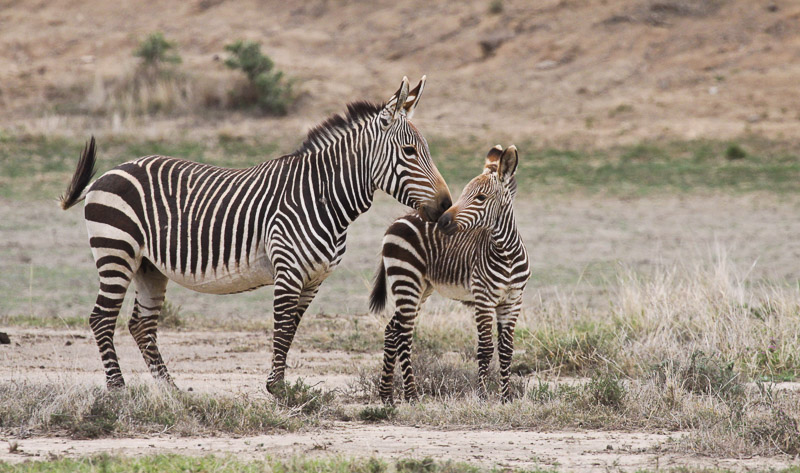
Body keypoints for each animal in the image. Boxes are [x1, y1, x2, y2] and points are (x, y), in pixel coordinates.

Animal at [59, 76, 452, 391]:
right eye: (410, 151)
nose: (447, 209)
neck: (322, 196)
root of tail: (106, 174)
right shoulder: (289, 270)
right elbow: (280, 327)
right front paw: (276, 390)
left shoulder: (314, 280)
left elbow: (291, 330)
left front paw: (281, 386)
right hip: (116, 251)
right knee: (101, 318)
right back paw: (117, 389)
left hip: (148, 266)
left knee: (141, 325)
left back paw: (171, 390)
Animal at [369, 145, 529, 403]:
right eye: (464, 193)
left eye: (480, 198)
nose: (442, 220)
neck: (506, 254)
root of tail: (397, 220)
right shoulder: (483, 299)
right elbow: (485, 349)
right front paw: (482, 397)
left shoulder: (513, 301)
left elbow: (506, 351)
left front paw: (506, 398)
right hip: (406, 279)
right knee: (403, 333)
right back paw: (411, 395)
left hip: (422, 287)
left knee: (392, 329)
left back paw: (386, 395)